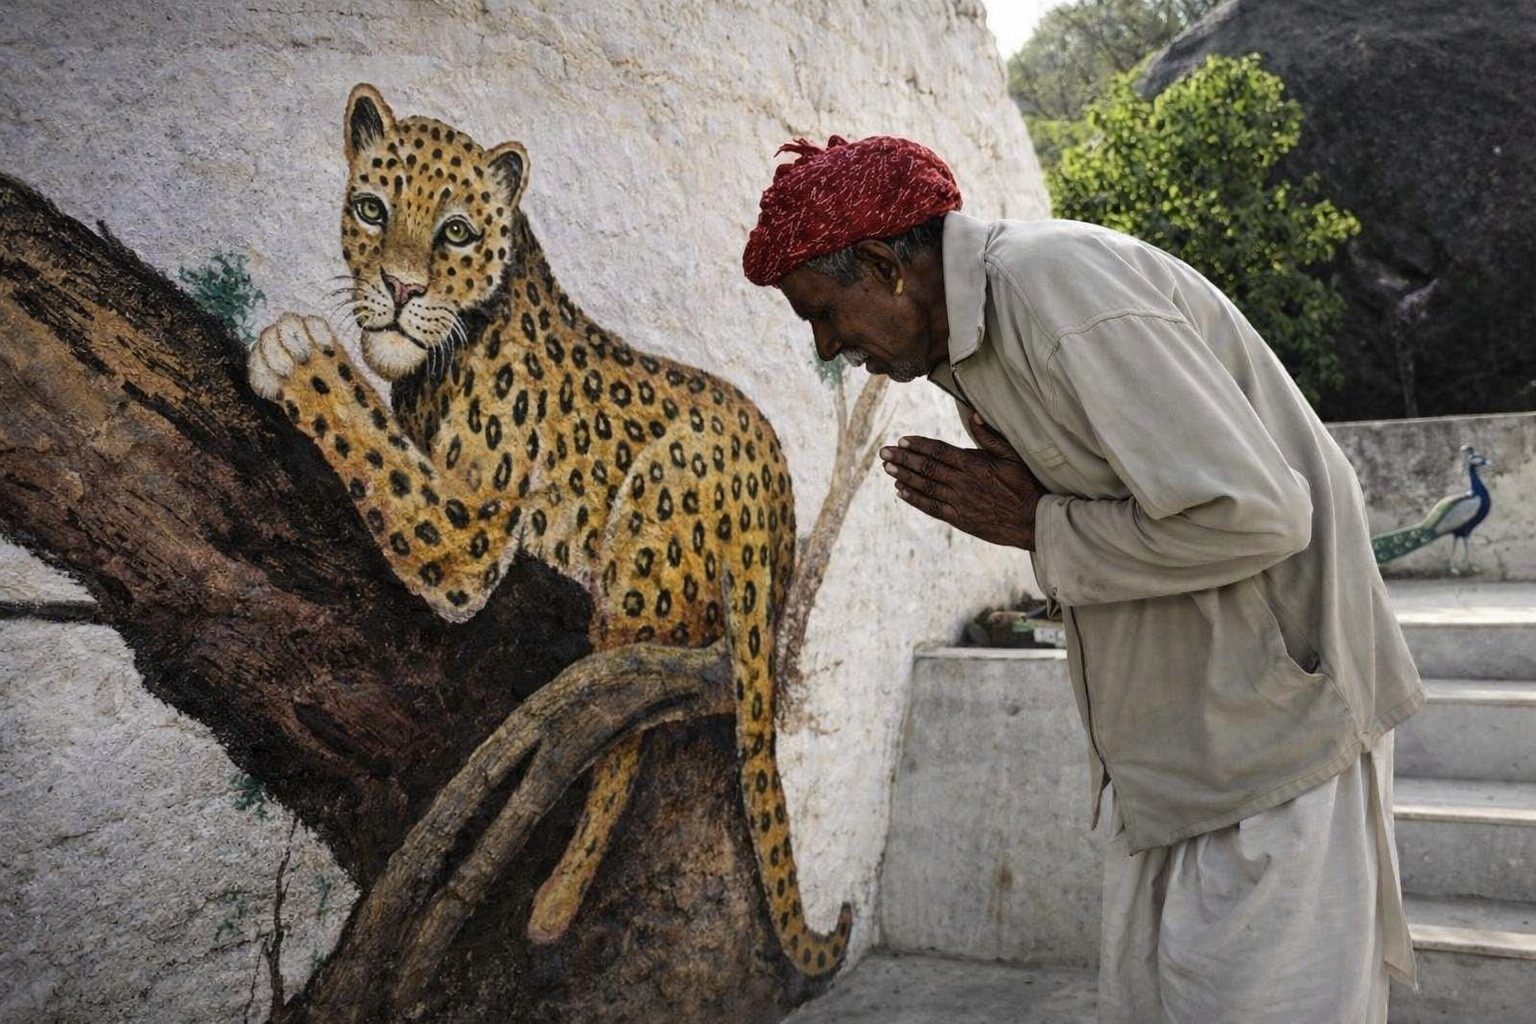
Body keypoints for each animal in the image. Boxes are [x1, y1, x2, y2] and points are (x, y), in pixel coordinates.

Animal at [247, 83, 852, 976]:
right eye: (371, 208)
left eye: (456, 231)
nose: (397, 290)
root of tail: (774, 492)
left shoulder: (465, 532)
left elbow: (376, 451)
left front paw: (294, 355)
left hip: (643, 544)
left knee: (628, 717)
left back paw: (558, 900)